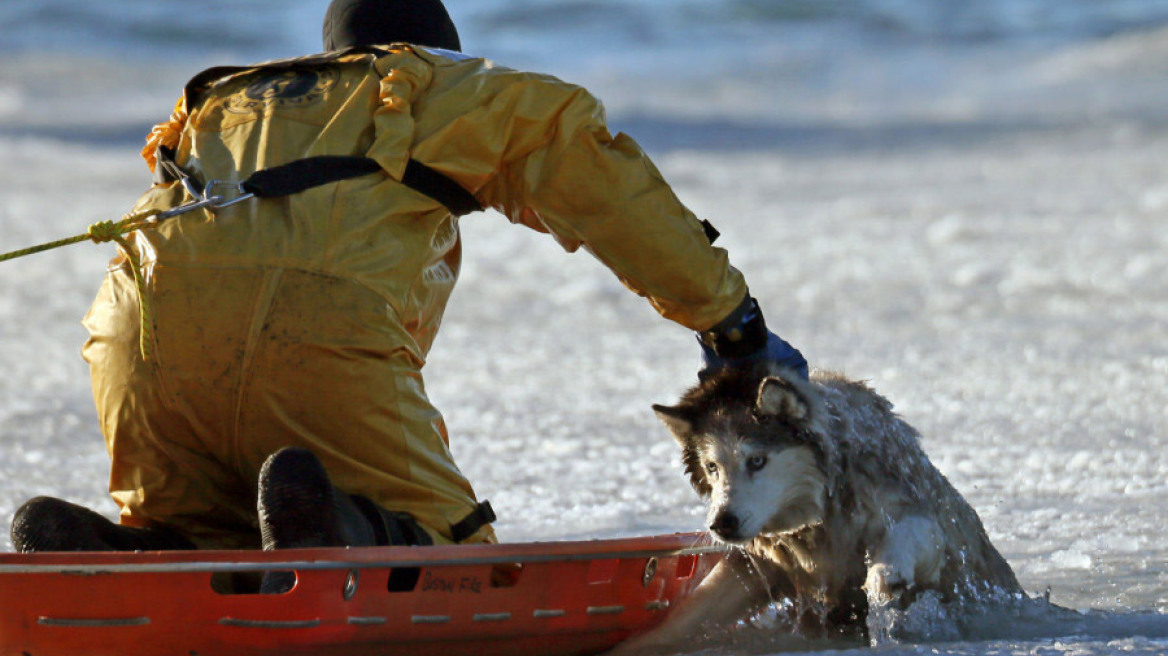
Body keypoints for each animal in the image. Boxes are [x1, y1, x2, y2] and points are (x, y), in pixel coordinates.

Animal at [626, 364, 1018, 644]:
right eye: (712, 467)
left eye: (756, 461)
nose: (721, 523)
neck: (820, 521)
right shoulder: (758, 565)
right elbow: (684, 619)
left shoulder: (919, 515)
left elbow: (907, 537)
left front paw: (885, 576)